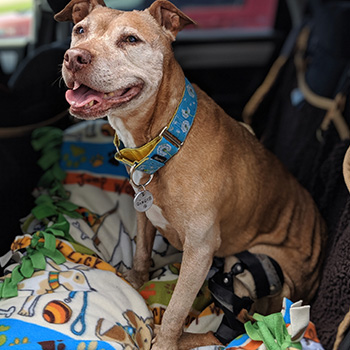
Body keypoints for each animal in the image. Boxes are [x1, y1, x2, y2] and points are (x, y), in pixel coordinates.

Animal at [54, 1, 326, 348]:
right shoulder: (144, 212)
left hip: (254, 269)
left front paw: (165, 341)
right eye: (79, 30)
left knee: (236, 324)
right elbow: (141, 251)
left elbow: (176, 308)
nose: (75, 57)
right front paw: (135, 280)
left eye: (130, 40)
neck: (167, 138)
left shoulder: (200, 250)